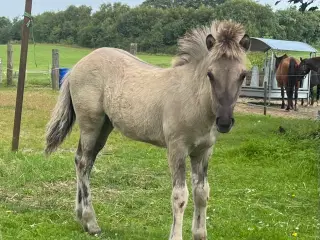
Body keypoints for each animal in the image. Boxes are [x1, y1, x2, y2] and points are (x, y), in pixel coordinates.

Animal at [45, 21, 251, 240]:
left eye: (243, 75)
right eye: (210, 75)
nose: (224, 122)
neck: (193, 99)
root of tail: (77, 66)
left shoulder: (203, 151)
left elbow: (202, 192)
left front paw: (200, 234)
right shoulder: (177, 149)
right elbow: (180, 195)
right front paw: (175, 236)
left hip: (104, 127)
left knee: (82, 160)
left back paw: (80, 217)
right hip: (90, 125)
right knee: (84, 163)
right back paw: (91, 222)